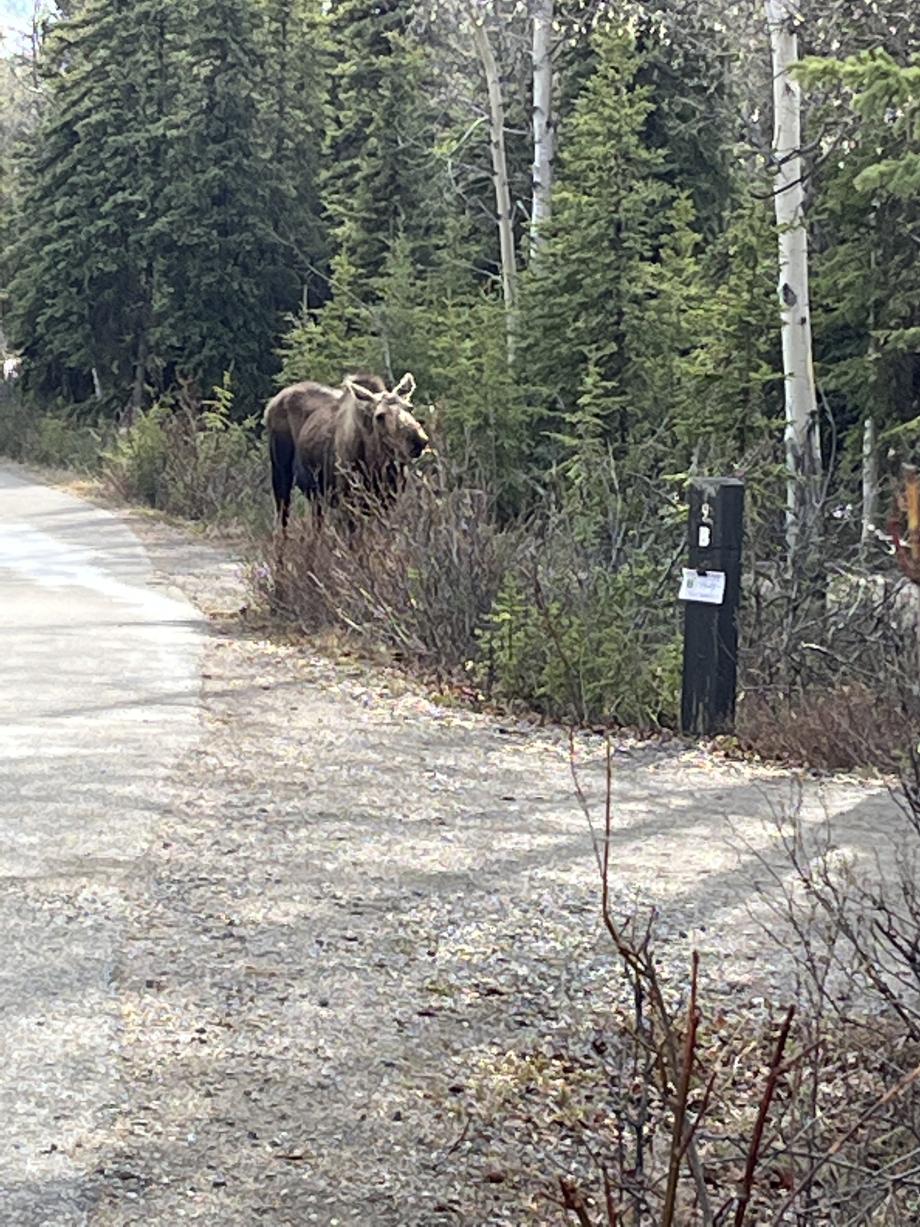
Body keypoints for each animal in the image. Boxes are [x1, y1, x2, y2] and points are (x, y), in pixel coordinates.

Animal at [262, 370, 429, 530]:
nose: (418, 440)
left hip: (315, 493)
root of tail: (270, 405)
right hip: (281, 474)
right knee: (282, 519)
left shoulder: (390, 501)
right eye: (380, 416)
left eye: (410, 408)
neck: (375, 464)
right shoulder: (347, 501)